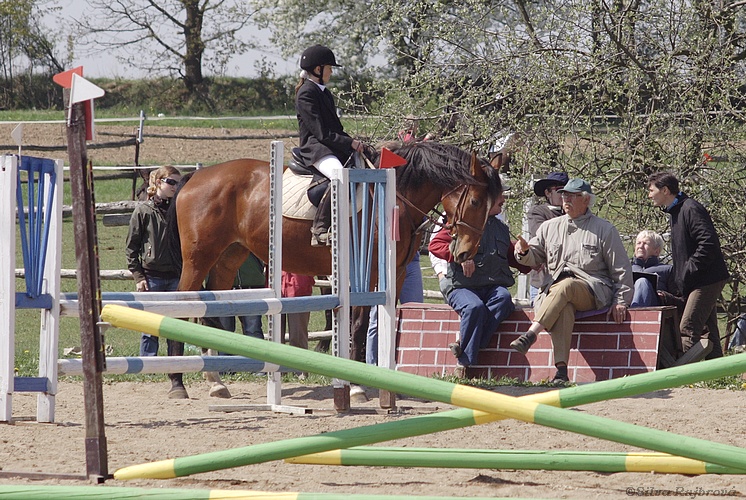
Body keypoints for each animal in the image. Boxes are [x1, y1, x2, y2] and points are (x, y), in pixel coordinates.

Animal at [168, 142, 500, 398]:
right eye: (474, 201)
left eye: (493, 205)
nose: (465, 253)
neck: (395, 198)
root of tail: (196, 175)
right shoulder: (365, 275)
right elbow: (357, 326)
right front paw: (356, 387)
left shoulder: (396, 274)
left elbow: (387, 325)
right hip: (198, 259)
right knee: (181, 308)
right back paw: (177, 383)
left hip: (229, 256)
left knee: (210, 312)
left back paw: (216, 384)